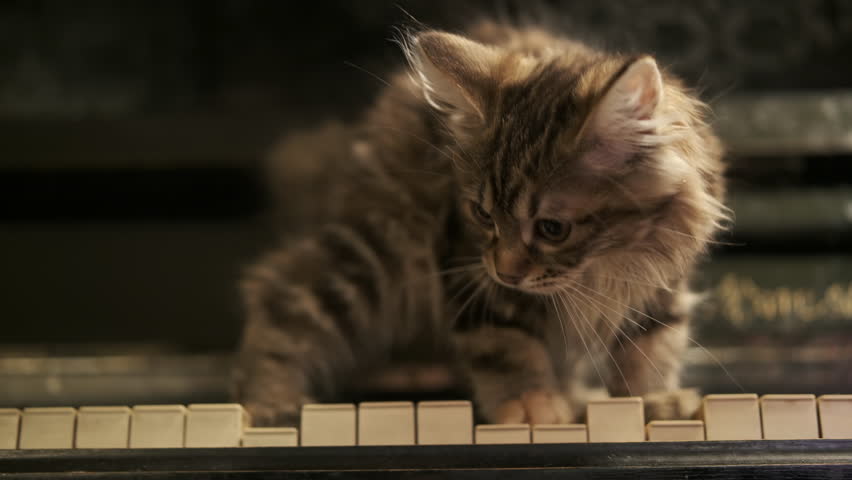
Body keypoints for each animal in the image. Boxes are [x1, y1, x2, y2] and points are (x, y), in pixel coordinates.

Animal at [231, 21, 724, 428]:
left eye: (552, 229)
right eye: (483, 214)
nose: (506, 271)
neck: (609, 263)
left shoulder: (662, 282)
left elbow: (653, 345)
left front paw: (652, 402)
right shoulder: (467, 267)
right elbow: (503, 343)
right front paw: (528, 403)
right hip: (375, 255)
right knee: (281, 292)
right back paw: (269, 403)